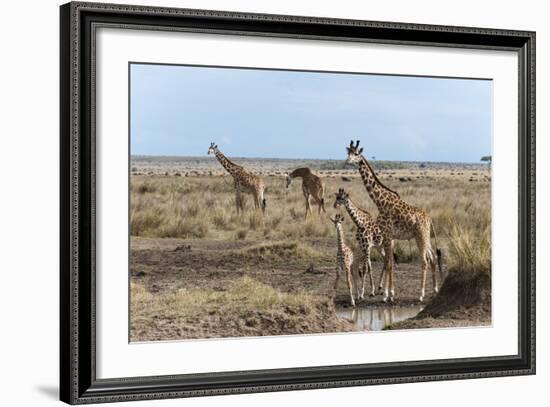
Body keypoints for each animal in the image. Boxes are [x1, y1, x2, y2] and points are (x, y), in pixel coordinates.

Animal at [350, 140, 444, 302]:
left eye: (356, 154)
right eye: (347, 152)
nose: (348, 161)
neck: (379, 202)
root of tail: (429, 218)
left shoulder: (387, 235)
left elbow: (388, 264)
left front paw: (387, 295)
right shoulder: (390, 237)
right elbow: (389, 263)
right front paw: (389, 294)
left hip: (421, 236)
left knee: (425, 260)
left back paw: (421, 294)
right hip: (424, 237)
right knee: (432, 258)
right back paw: (435, 290)